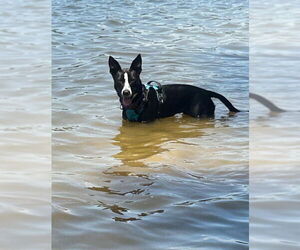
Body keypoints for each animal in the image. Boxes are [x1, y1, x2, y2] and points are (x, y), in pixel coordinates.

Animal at [109, 54, 240, 122]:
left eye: (133, 81)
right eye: (120, 81)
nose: (126, 92)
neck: (139, 100)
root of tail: (206, 92)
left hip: (203, 114)